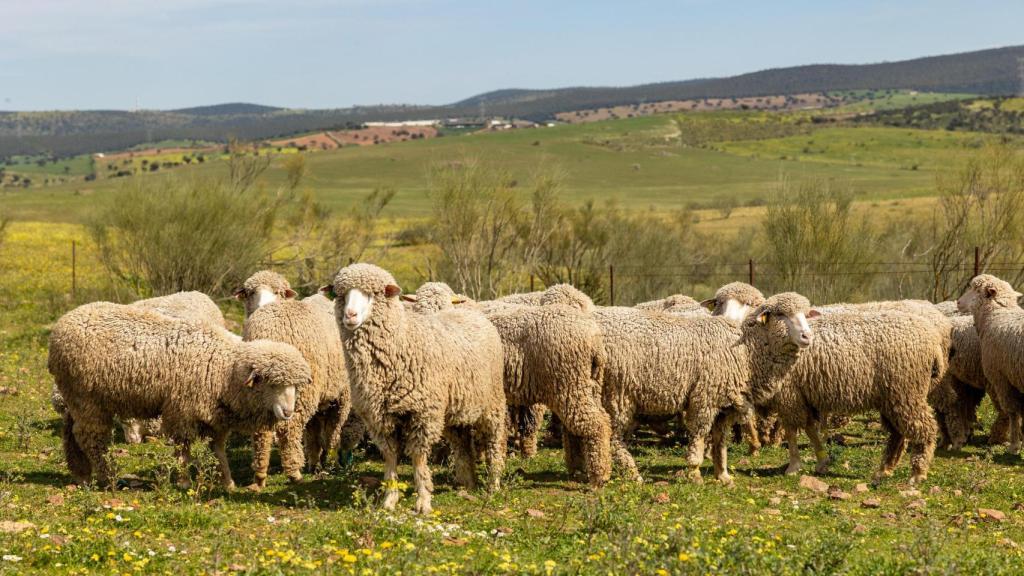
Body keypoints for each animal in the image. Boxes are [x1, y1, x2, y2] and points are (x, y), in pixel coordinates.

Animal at [49, 301, 310, 489]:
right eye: (272, 383)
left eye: (295, 386)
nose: (288, 412)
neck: (224, 368)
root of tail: (61, 326)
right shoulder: (182, 410)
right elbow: (183, 449)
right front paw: (184, 481)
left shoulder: (214, 417)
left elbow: (218, 450)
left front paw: (227, 483)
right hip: (88, 399)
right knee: (90, 438)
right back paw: (108, 477)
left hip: (75, 398)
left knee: (70, 433)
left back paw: (82, 475)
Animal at [235, 271, 350, 488]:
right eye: (250, 292)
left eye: (278, 292)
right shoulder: (341, 396)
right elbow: (330, 432)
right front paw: (325, 463)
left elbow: (316, 433)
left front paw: (317, 462)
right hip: (302, 390)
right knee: (291, 429)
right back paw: (294, 472)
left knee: (263, 431)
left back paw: (260, 475)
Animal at [328, 264, 507, 514]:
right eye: (340, 295)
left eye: (375, 293)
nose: (350, 316)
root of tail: (470, 312)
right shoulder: (379, 419)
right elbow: (390, 457)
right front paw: (389, 499)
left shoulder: (423, 413)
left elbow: (419, 457)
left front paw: (423, 501)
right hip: (455, 409)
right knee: (461, 442)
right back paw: (468, 483)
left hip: (492, 402)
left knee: (494, 439)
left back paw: (494, 484)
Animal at [742, 293, 945, 484]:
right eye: (781, 314)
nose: (806, 337)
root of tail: (934, 343)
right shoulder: (801, 397)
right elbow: (809, 428)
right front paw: (821, 462)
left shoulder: (789, 396)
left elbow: (792, 431)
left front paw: (793, 466)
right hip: (893, 397)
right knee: (898, 434)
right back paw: (884, 470)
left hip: (907, 392)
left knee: (925, 428)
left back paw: (917, 473)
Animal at [957, 274, 1024, 454]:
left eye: (974, 288)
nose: (958, 302)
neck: (998, 314)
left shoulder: (1001, 379)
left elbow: (1013, 411)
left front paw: (1014, 445)